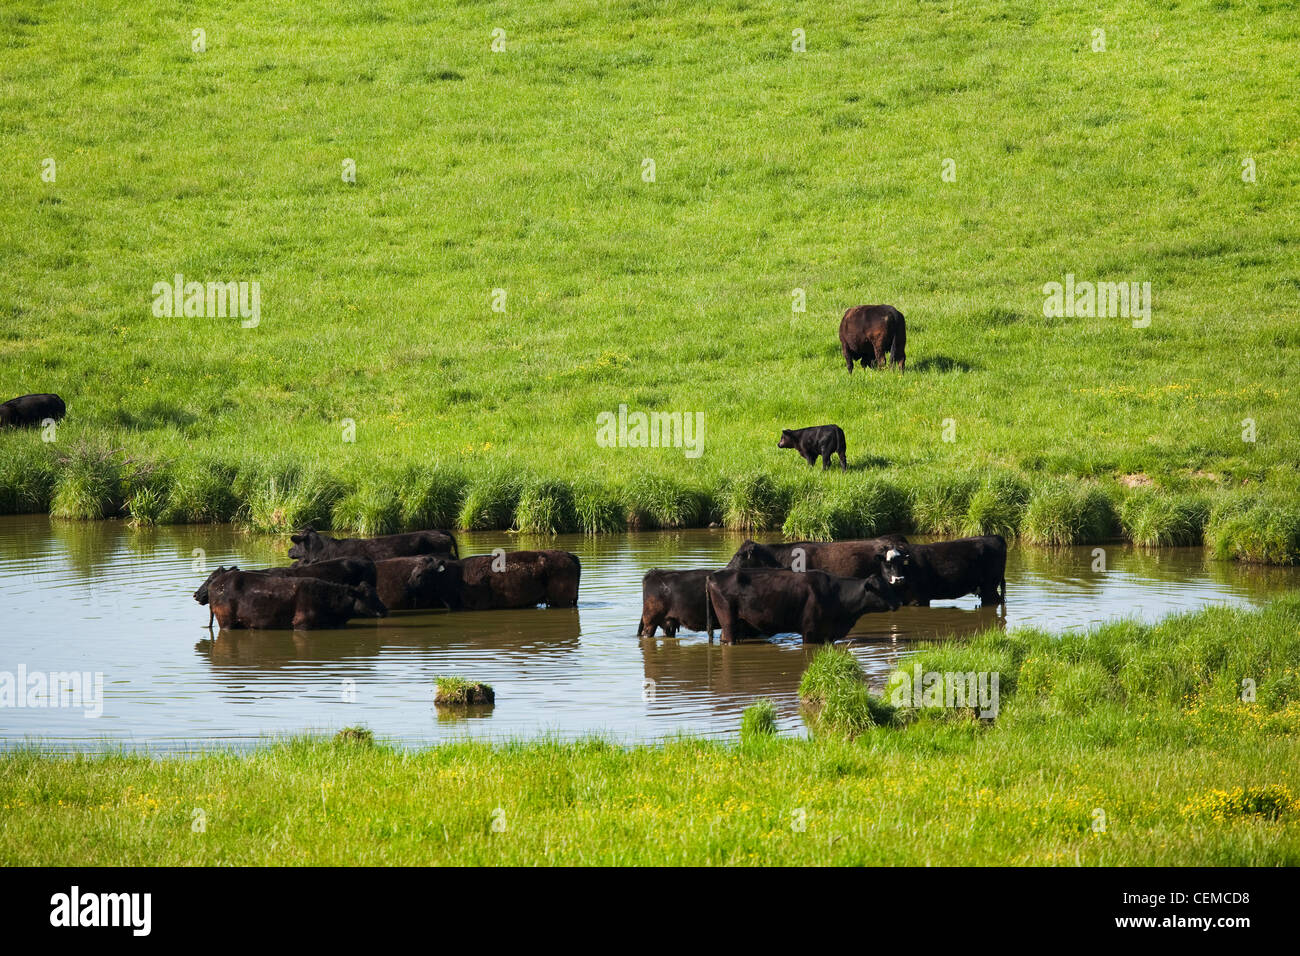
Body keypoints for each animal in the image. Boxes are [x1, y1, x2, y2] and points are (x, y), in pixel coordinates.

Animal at [705, 568, 900, 644]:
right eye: (881, 589)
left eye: (890, 585)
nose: (898, 602)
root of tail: (713, 575)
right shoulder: (810, 631)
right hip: (729, 622)